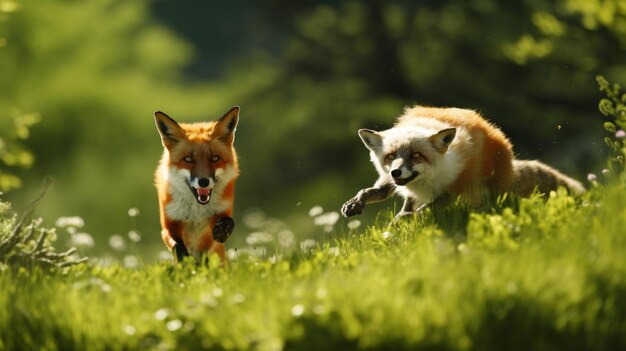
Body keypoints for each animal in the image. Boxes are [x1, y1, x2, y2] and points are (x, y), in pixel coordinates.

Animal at [154, 107, 239, 264]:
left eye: (214, 158)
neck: (196, 212)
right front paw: (186, 259)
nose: (203, 182)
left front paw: (223, 230)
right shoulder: (168, 226)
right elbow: (177, 245)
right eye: (188, 159)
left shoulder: (215, 225)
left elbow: (229, 222)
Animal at [338, 105, 584, 220]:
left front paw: (405, 223)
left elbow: (424, 210)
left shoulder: (451, 191)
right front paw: (355, 204)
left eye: (416, 155)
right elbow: (371, 191)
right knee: (407, 201)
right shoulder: (389, 180)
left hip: (490, 193)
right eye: (390, 156)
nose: (397, 172)